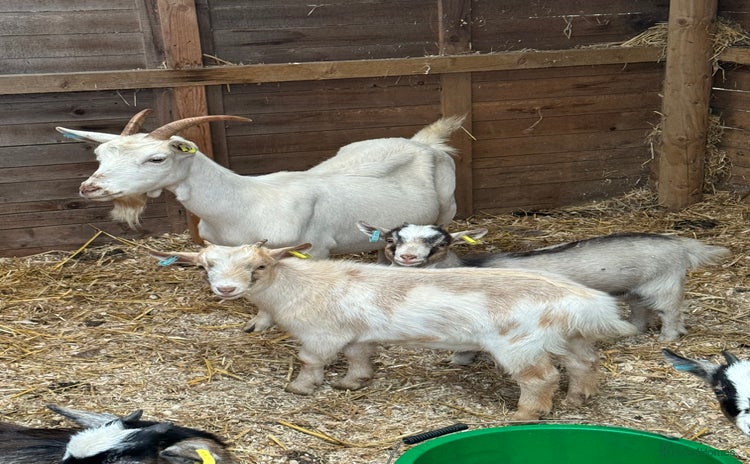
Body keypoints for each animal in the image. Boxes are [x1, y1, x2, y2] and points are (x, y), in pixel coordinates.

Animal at [150, 241, 638, 421]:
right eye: (208, 266)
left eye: (260, 267)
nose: (226, 289)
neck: (297, 287)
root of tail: (582, 300)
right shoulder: (357, 335)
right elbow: (360, 358)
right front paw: (352, 383)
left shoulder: (322, 335)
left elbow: (310, 361)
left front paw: (302, 389)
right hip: (569, 336)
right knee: (584, 364)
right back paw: (579, 399)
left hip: (519, 343)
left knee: (541, 379)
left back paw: (525, 414)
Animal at [358, 222, 731, 342]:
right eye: (392, 240)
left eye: (440, 243)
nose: (408, 258)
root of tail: (681, 245)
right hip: (638, 287)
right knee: (641, 309)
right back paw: (636, 332)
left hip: (665, 284)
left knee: (671, 312)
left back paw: (669, 337)